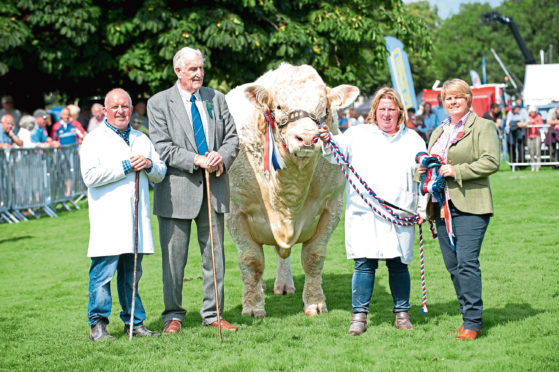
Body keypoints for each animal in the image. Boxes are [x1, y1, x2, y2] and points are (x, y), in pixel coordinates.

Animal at [225, 62, 360, 316]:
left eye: (324, 109)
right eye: (278, 106)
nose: (306, 137)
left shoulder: (332, 205)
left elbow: (313, 257)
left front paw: (315, 303)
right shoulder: (235, 210)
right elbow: (251, 260)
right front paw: (253, 306)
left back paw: (284, 284)